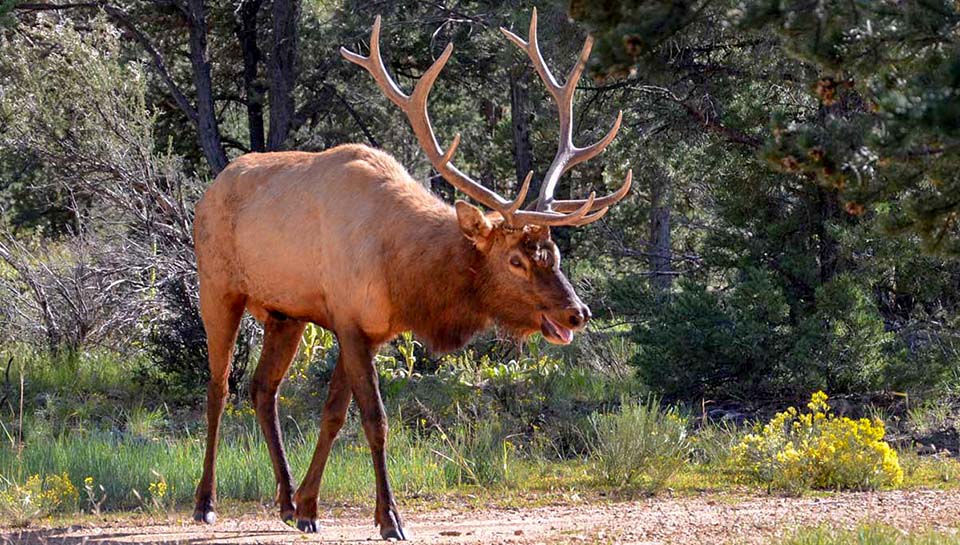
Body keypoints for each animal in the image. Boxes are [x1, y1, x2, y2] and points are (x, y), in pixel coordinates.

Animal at [193, 9, 632, 540]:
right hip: (217, 288)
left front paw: (308, 507)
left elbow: (333, 415)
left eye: (555, 253)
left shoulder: (364, 329)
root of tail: (207, 190)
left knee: (263, 390)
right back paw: (205, 502)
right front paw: (390, 518)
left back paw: (282, 498)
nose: (577, 312)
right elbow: (375, 420)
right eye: (516, 260)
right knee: (219, 389)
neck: (404, 276)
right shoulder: (349, 321)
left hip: (285, 314)